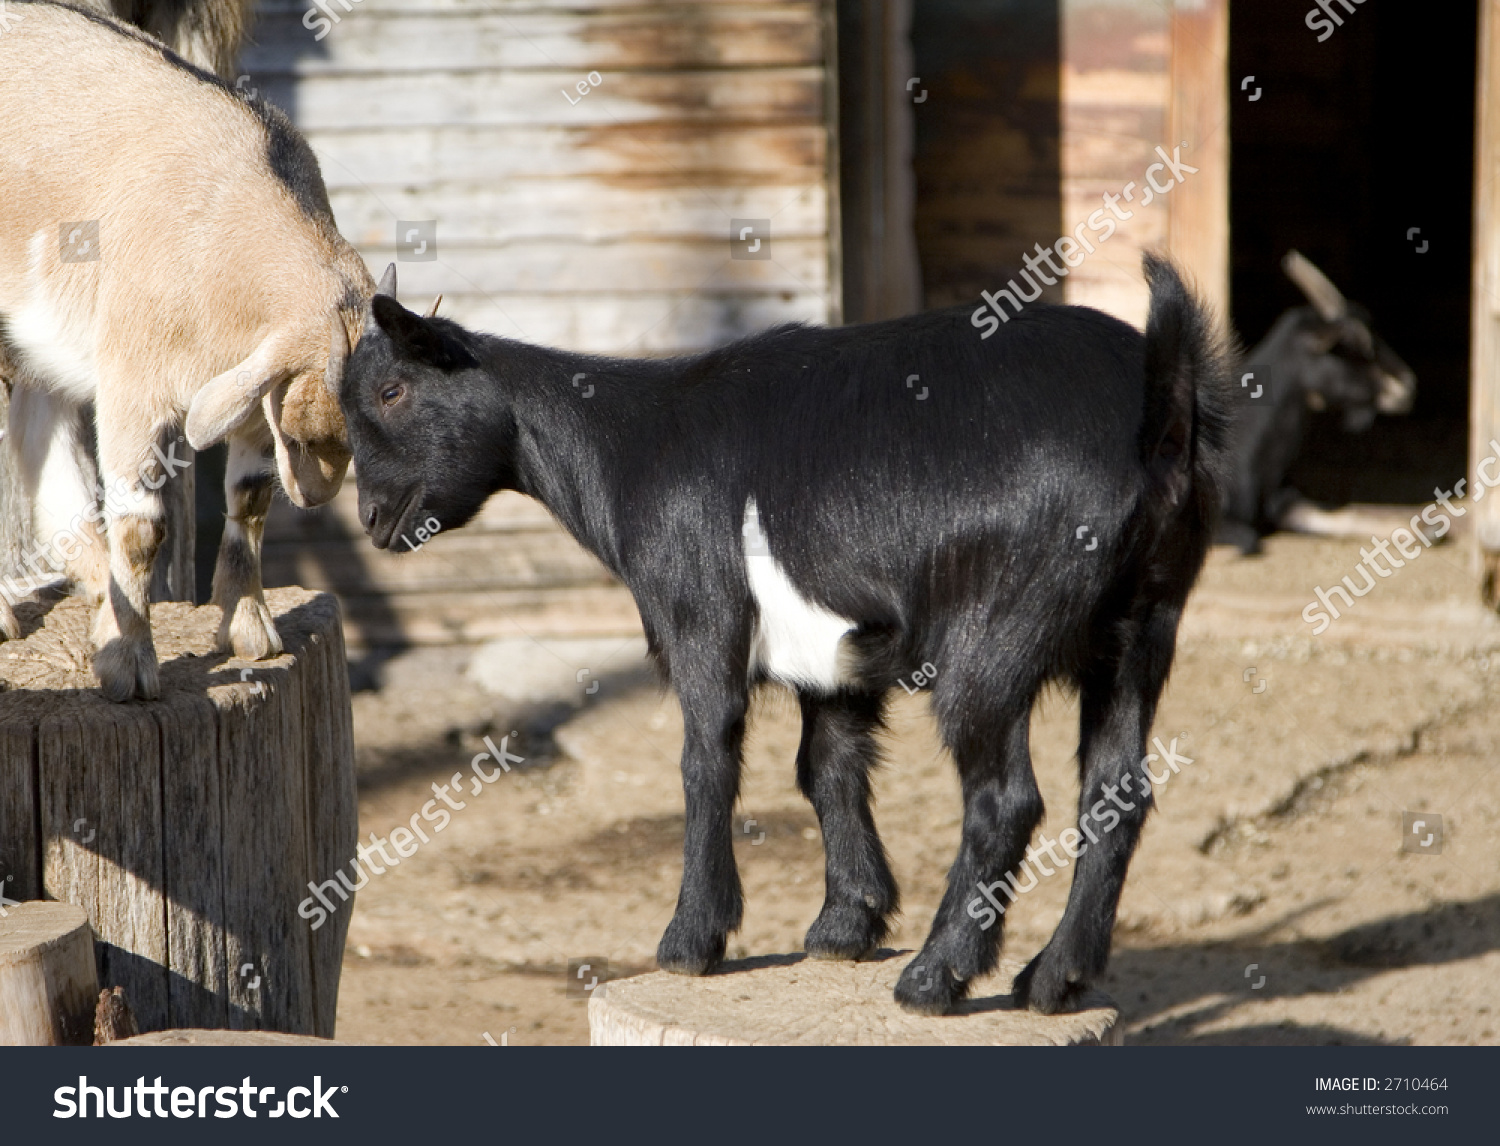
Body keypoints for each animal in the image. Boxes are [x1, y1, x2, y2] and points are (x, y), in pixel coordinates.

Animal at [0, 2, 372, 699]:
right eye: (306, 434)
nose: (316, 496)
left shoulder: (249, 387)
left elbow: (249, 497)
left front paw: (251, 632)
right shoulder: (133, 381)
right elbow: (143, 526)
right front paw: (128, 666)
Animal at [337, 253, 1230, 1014]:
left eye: (392, 392)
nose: (374, 520)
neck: (628, 447)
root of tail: (1161, 398)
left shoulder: (699, 614)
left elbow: (705, 761)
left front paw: (691, 942)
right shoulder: (829, 659)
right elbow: (827, 765)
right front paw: (846, 924)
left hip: (998, 629)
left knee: (1005, 798)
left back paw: (934, 978)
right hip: (1143, 628)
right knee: (1115, 790)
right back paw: (1053, 979)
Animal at [1218, 252, 1416, 555]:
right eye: (1354, 342)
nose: (1408, 385)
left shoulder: (1283, 500)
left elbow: (1341, 514)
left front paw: (1422, 528)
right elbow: (1247, 538)